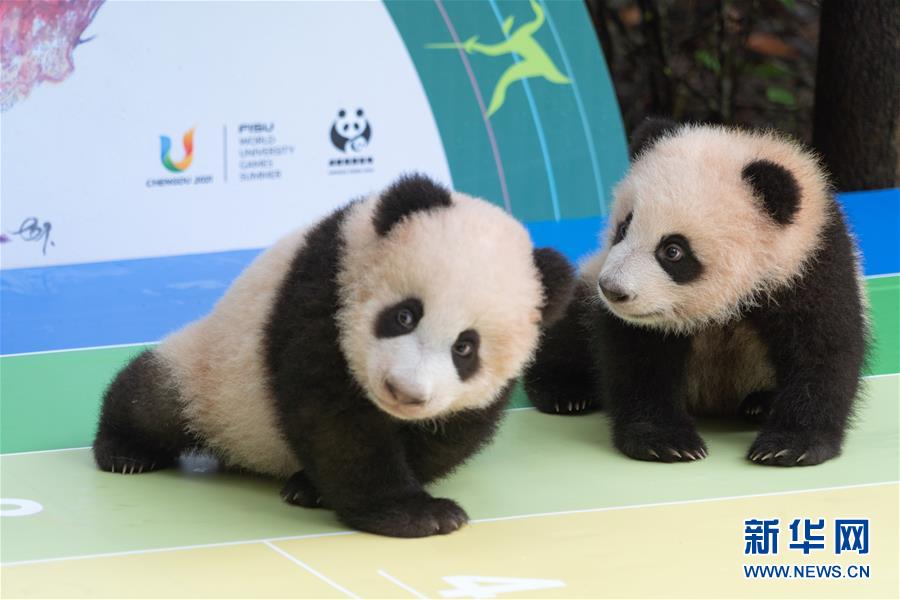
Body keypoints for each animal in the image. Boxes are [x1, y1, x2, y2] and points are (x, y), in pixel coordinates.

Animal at [93, 174, 574, 537]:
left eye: (465, 348)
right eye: (404, 315)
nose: (403, 391)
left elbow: (446, 436)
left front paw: (313, 487)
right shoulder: (324, 288)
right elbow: (335, 420)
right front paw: (417, 515)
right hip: (212, 375)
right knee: (153, 399)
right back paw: (125, 452)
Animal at [525, 118, 867, 467]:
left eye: (673, 251)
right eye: (623, 228)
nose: (613, 290)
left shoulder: (811, 266)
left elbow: (822, 352)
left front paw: (789, 446)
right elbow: (641, 360)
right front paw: (665, 441)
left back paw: (760, 404)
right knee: (568, 327)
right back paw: (564, 391)